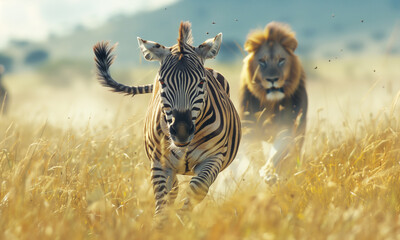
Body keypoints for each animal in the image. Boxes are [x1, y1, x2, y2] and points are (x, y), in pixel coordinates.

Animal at [94, 21, 241, 218]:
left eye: (201, 83)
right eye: (162, 82)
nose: (182, 131)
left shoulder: (213, 158)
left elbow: (195, 190)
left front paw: (180, 220)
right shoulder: (159, 163)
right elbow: (163, 202)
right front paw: (164, 222)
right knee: (174, 189)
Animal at [239, 22, 308, 184]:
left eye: (281, 60)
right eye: (262, 61)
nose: (272, 79)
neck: (270, 103)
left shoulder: (288, 124)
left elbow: (279, 151)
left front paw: (269, 172)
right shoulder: (248, 127)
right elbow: (254, 153)